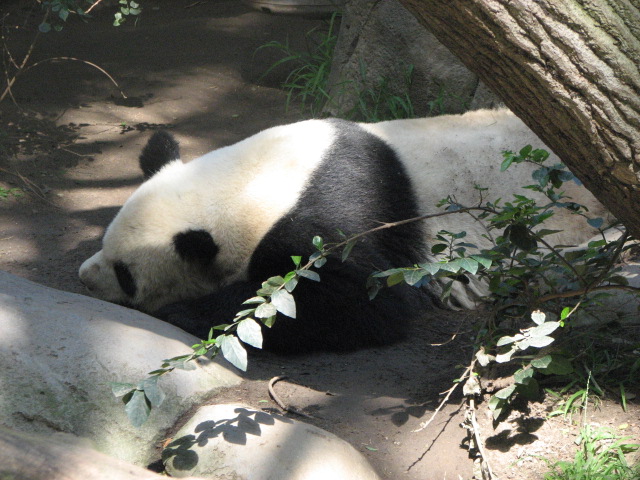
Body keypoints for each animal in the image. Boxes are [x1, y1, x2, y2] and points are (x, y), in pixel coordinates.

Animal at [79, 109, 609, 354]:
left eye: (126, 274)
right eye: (105, 246)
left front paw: (191, 311)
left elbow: (361, 304)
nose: (84, 278)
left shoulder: (336, 210)